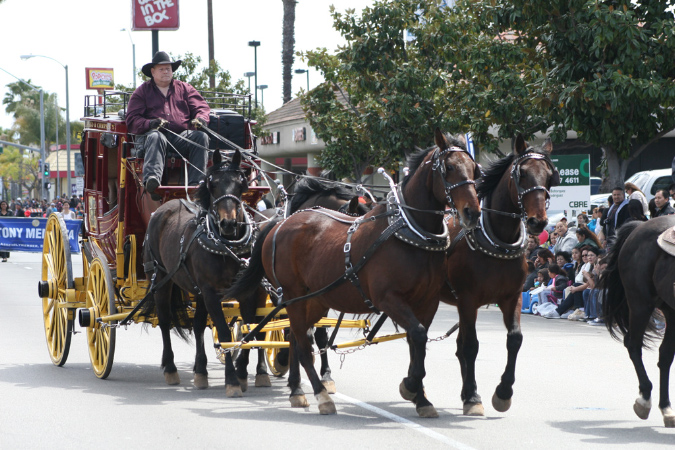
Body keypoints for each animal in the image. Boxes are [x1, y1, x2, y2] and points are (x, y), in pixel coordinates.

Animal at [143, 149, 266, 398]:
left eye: (240, 183)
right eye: (213, 183)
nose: (228, 223)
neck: (226, 245)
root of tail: (164, 207)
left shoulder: (246, 292)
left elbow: (248, 331)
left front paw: (241, 375)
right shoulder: (211, 292)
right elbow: (225, 334)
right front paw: (232, 381)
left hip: (196, 288)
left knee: (199, 324)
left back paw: (200, 371)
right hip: (161, 278)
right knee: (164, 319)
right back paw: (170, 369)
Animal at [230, 128, 484, 416]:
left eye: (475, 170)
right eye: (449, 167)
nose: (472, 212)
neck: (410, 233)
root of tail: (278, 225)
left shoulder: (427, 302)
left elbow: (416, 341)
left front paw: (421, 397)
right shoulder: (388, 299)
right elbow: (418, 335)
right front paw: (410, 386)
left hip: (313, 299)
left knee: (297, 336)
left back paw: (298, 389)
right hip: (292, 296)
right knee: (299, 342)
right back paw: (319, 394)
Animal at [440, 135, 556, 416]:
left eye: (550, 176)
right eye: (522, 174)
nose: (538, 222)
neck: (497, 239)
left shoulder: (511, 297)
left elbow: (514, 339)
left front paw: (503, 392)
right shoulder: (467, 300)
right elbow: (471, 346)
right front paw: (473, 398)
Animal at [604, 216, 675, 428]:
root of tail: (641, 225)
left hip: (669, 309)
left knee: (665, 355)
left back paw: (666, 407)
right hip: (640, 303)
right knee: (633, 344)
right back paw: (645, 399)